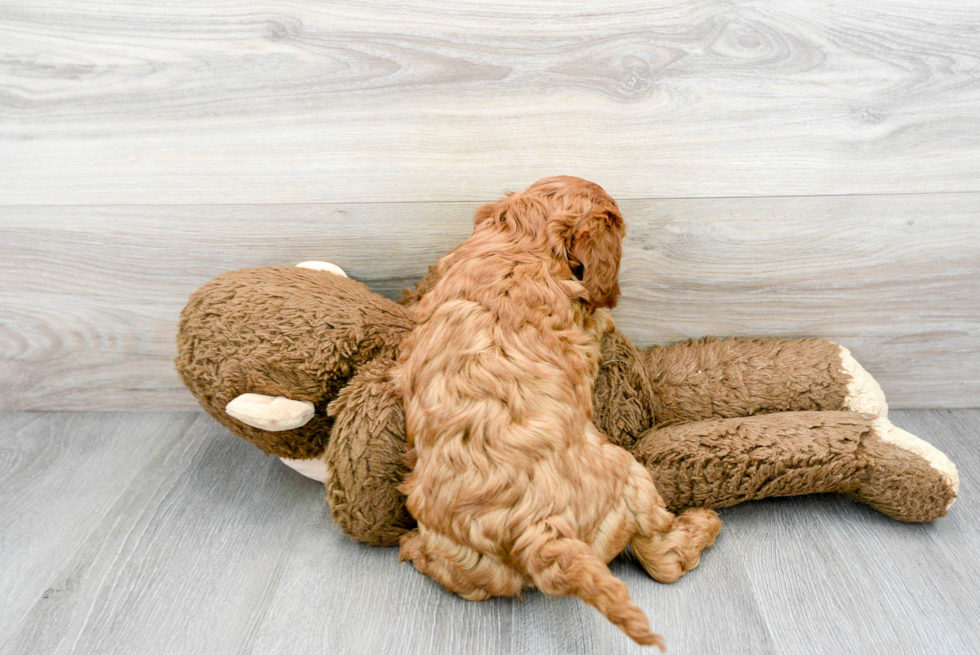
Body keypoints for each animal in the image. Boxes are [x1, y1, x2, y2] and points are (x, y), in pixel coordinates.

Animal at [392, 177, 720, 648]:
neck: (521, 245)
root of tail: (539, 530)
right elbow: (597, 320)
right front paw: (606, 316)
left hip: (464, 559)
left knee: (462, 582)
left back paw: (412, 548)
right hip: (632, 479)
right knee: (662, 558)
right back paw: (703, 525)